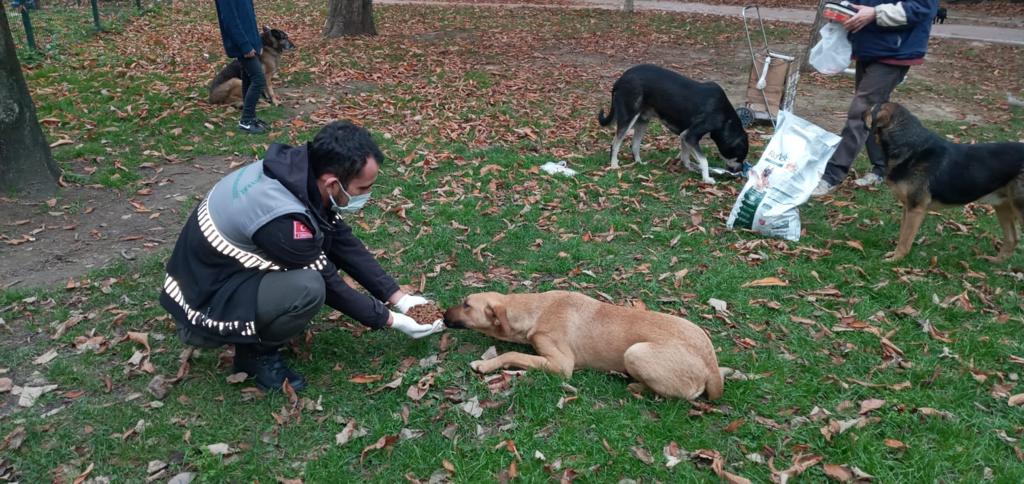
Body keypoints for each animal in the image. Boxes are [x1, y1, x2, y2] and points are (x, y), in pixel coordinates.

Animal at [444, 290, 724, 399]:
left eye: (466, 304)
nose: (443, 315)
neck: (536, 310)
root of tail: (711, 366)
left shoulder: (562, 365)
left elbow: (512, 352)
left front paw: (484, 364)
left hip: (635, 352)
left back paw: (634, 385)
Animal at [598, 63, 749, 183]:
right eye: (740, 157)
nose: (740, 172)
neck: (725, 119)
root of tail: (621, 79)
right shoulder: (690, 135)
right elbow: (704, 160)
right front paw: (707, 178)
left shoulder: (685, 136)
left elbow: (686, 156)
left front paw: (690, 168)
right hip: (628, 118)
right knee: (615, 143)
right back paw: (614, 165)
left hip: (642, 121)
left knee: (634, 145)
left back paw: (639, 163)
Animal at [864, 101, 1024, 259]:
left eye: (872, 108)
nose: (861, 111)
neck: (910, 144)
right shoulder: (908, 207)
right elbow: (902, 234)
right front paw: (894, 255)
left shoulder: (915, 209)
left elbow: (905, 241)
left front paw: (895, 260)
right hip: (1002, 206)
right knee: (1012, 239)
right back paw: (994, 262)